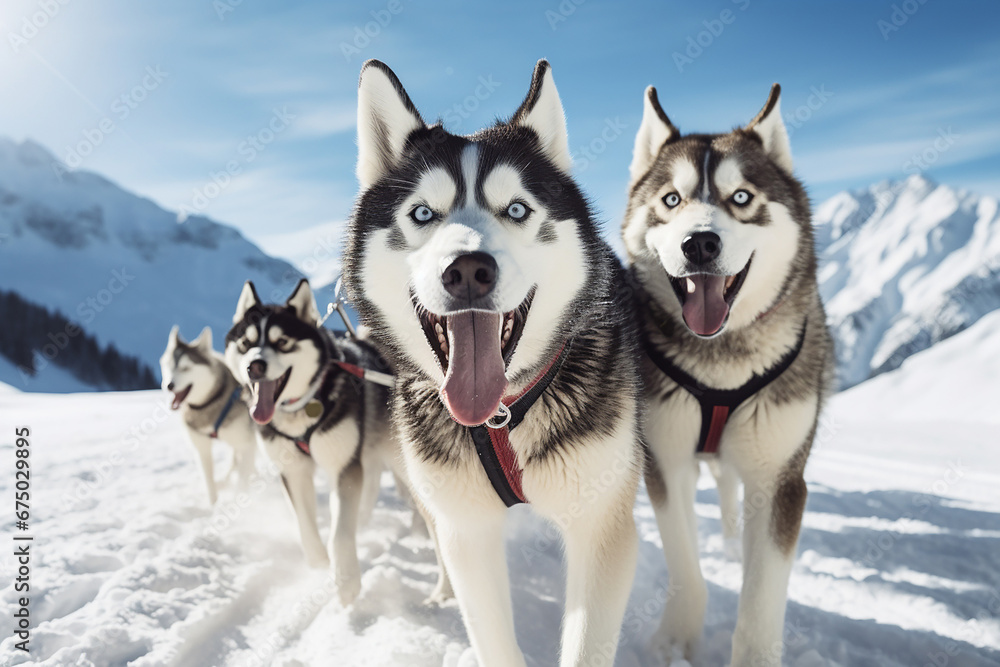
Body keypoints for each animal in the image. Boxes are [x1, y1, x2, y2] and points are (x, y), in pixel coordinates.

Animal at [160, 324, 258, 506]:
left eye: (185, 368)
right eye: (169, 365)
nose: (169, 385)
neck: (209, 404)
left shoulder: (246, 443)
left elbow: (241, 483)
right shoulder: (202, 448)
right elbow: (209, 483)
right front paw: (214, 506)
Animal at [227, 280, 450, 608]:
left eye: (283, 342)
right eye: (245, 343)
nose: (255, 366)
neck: (304, 406)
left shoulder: (344, 468)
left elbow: (340, 532)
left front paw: (346, 581)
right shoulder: (293, 471)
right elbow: (304, 523)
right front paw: (319, 560)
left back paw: (444, 589)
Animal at [344, 58, 640, 667]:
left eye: (518, 209)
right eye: (423, 213)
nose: (467, 270)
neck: (502, 417)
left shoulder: (601, 526)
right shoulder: (466, 529)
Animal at [624, 85, 836, 667]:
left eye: (741, 197)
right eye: (671, 200)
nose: (699, 243)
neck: (721, 360)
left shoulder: (780, 477)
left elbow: (762, 600)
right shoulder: (666, 461)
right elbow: (684, 561)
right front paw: (676, 640)